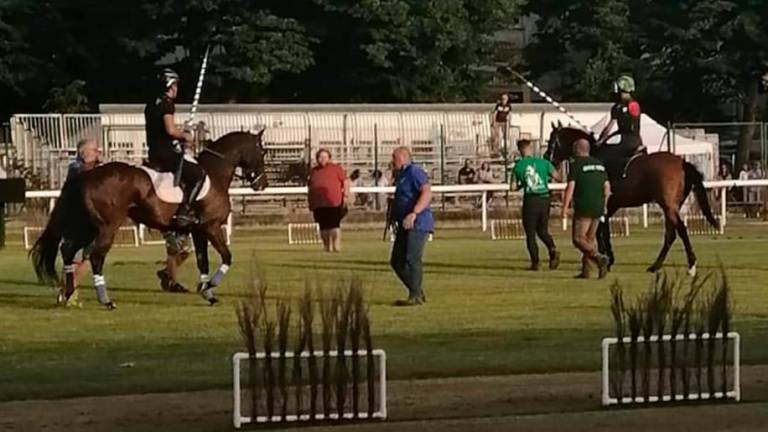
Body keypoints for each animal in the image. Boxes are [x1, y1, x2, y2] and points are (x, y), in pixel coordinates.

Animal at [30, 130, 268, 308]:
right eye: (262, 150)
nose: (262, 184)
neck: (214, 174)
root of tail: (87, 174)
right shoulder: (211, 227)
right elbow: (227, 257)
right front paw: (209, 287)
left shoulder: (198, 230)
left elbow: (203, 262)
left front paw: (207, 292)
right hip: (106, 227)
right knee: (95, 257)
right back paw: (105, 300)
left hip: (89, 227)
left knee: (68, 250)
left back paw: (68, 293)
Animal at [544, 123, 716, 276]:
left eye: (552, 140)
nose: (547, 157)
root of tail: (682, 162)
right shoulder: (609, 208)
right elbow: (603, 232)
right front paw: (607, 259)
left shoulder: (604, 206)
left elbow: (601, 232)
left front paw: (607, 259)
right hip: (671, 207)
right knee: (670, 235)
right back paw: (655, 266)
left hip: (668, 206)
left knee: (681, 230)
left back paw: (691, 266)